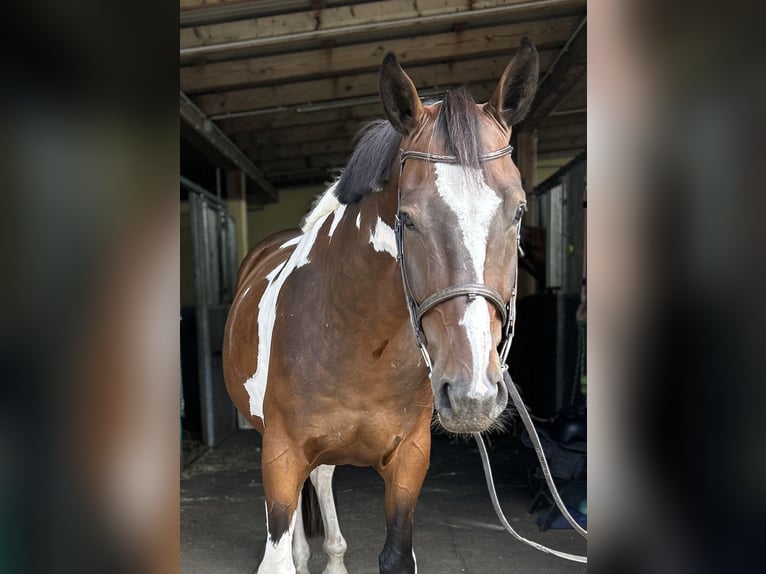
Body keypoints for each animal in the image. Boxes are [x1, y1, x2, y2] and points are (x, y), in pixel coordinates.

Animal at [223, 38, 539, 574]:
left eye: (518, 210)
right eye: (407, 218)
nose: (472, 394)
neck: (358, 340)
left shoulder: (410, 461)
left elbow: (395, 554)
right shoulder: (280, 455)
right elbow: (279, 551)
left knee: (324, 476)